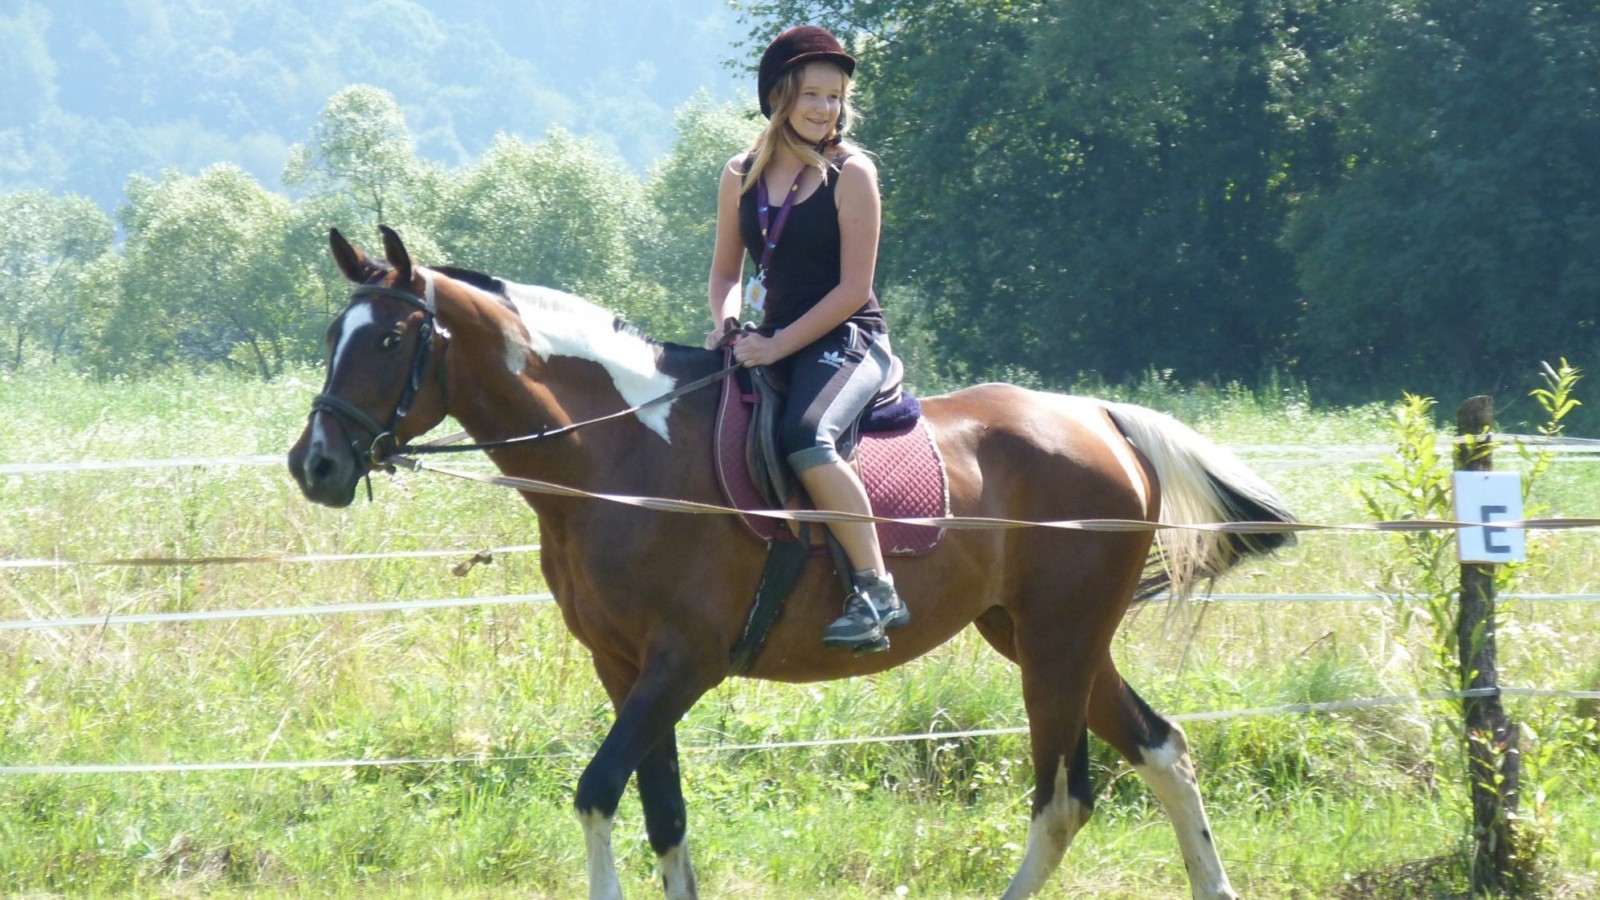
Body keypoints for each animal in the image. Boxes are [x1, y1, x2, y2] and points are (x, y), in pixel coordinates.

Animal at [288, 226, 1297, 900]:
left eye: (388, 340)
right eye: (334, 334)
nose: (316, 465)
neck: (621, 456)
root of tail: (1097, 417)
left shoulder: (681, 663)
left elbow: (597, 792)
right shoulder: (624, 668)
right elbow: (663, 813)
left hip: (1055, 644)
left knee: (1062, 798)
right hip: (1042, 638)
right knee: (1161, 749)